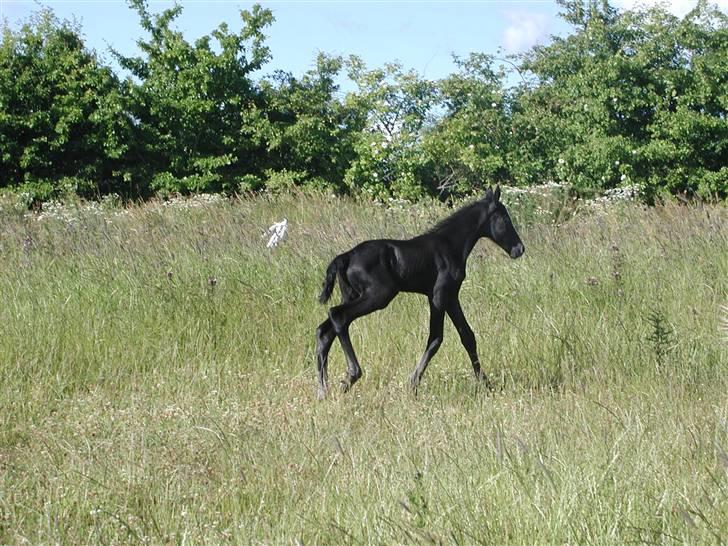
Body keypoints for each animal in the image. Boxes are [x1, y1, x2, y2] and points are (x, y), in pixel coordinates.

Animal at [312, 185, 524, 398]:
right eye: (505, 219)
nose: (519, 249)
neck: (450, 245)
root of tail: (345, 257)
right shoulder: (438, 296)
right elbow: (435, 338)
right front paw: (413, 383)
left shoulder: (451, 296)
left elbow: (467, 336)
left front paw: (487, 385)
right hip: (378, 295)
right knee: (338, 315)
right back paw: (351, 376)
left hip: (352, 295)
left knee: (324, 331)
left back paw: (323, 391)